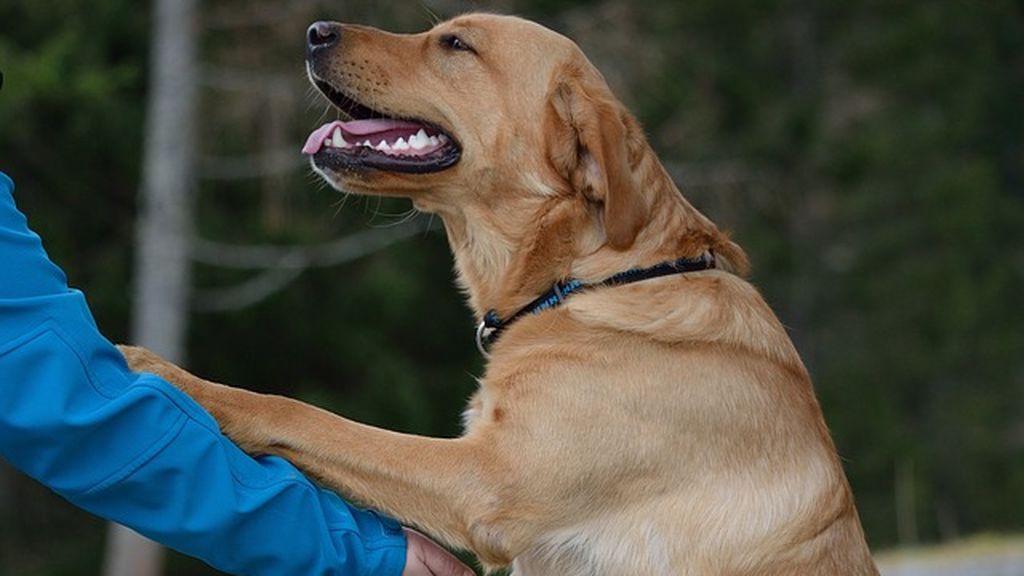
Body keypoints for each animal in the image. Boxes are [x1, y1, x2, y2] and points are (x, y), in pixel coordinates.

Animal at [121, 13, 880, 573]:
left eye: (456, 44)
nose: (313, 30)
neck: (583, 281)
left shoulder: (487, 480)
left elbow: (303, 413)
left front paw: (169, 375)